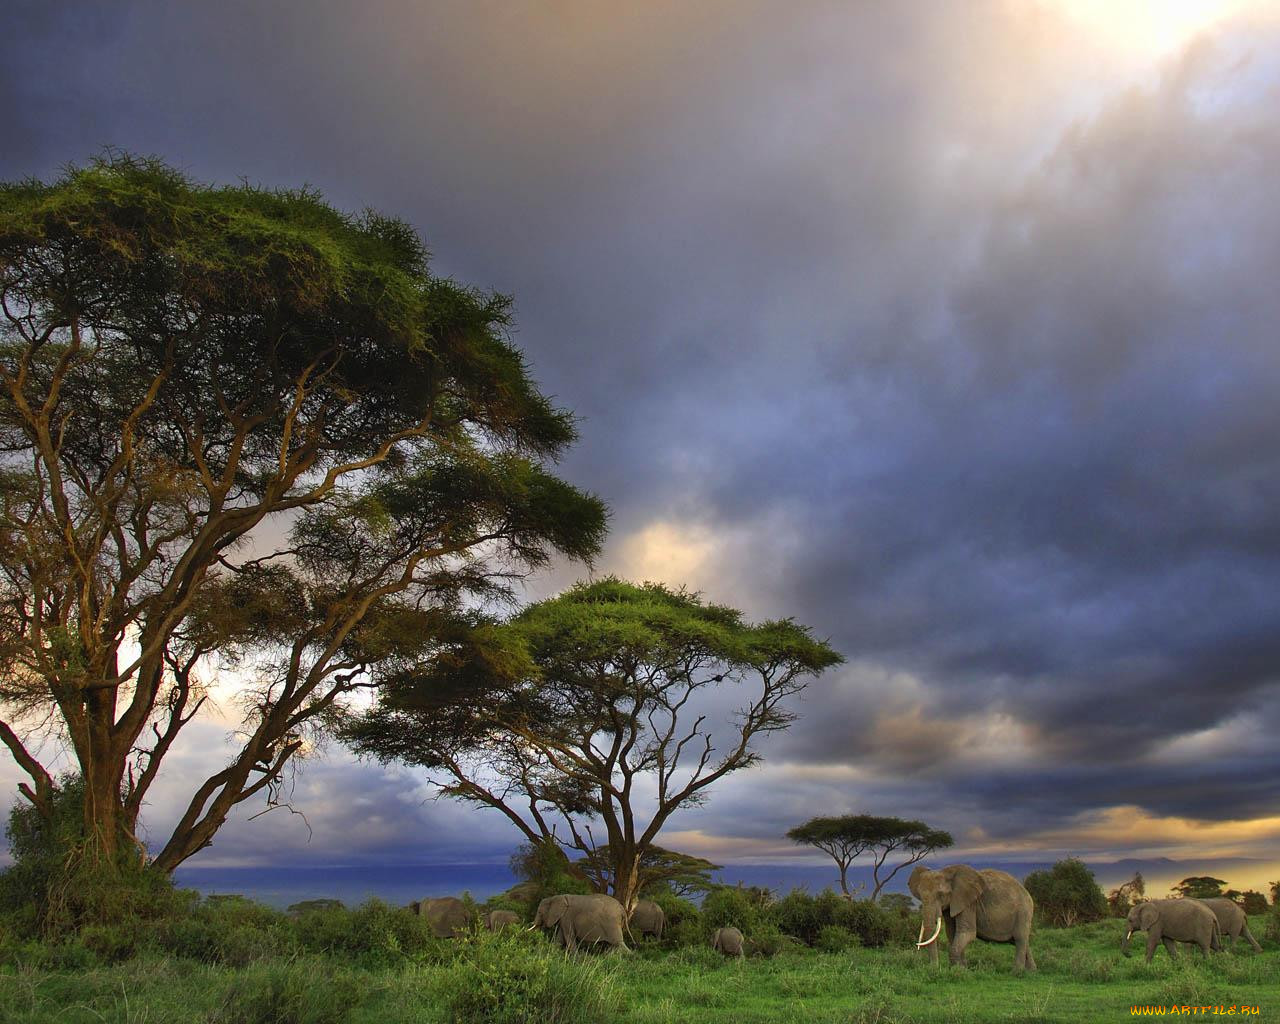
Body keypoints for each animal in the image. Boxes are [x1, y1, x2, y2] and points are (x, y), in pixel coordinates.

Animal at [906, 860, 1034, 972]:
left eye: (941, 895)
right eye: (920, 895)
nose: (934, 968)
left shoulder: (968, 903)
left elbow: (966, 933)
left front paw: (959, 971)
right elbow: (952, 933)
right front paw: (961, 969)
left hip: (1023, 911)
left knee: (1020, 939)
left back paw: (1016, 972)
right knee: (1022, 941)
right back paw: (1031, 971)